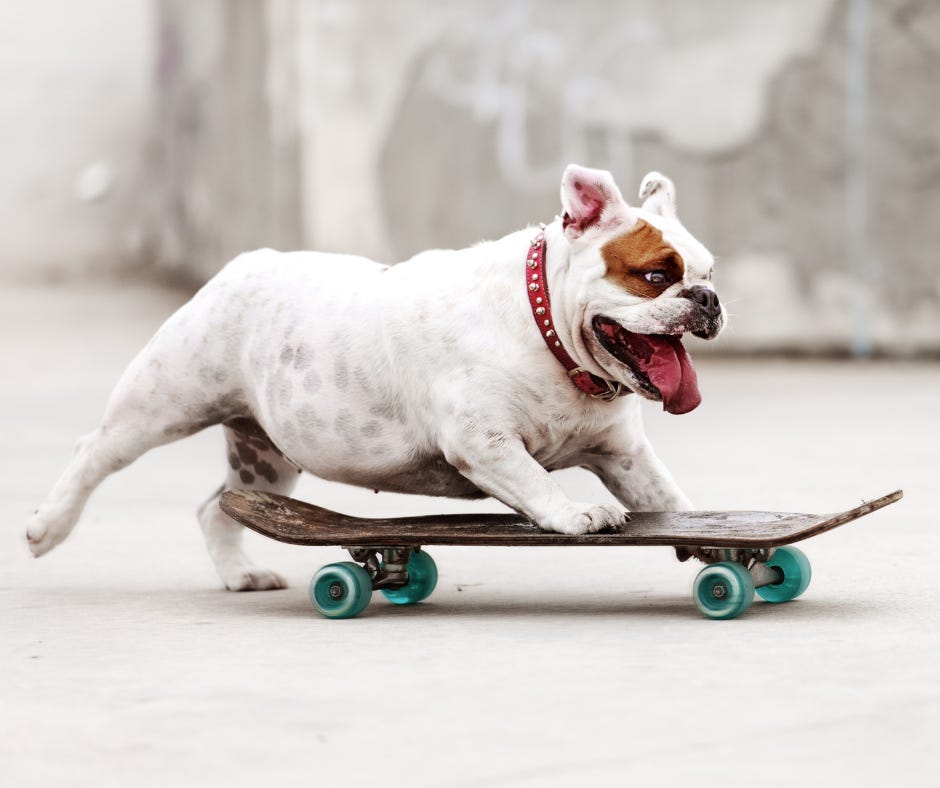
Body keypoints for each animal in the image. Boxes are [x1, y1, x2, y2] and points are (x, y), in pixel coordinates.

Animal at [27, 166, 720, 592]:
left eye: (709, 271)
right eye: (656, 275)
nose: (708, 298)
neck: (545, 327)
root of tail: (243, 264)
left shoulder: (625, 456)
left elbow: (670, 499)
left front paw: (708, 537)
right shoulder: (485, 442)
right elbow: (535, 481)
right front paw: (575, 514)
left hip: (265, 457)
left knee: (218, 506)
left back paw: (239, 575)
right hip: (160, 404)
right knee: (94, 453)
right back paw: (47, 527)